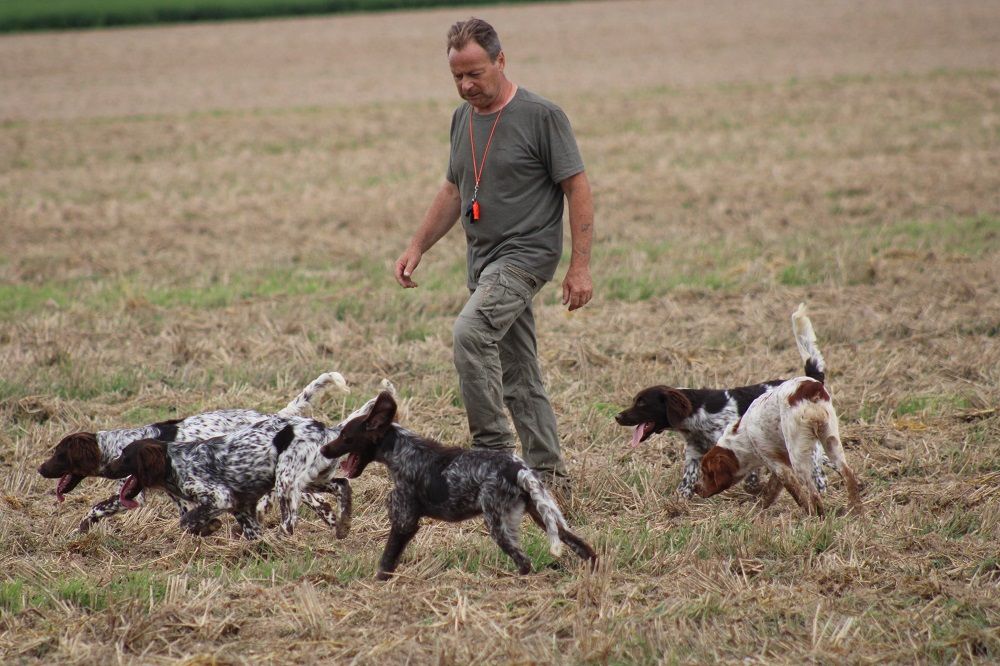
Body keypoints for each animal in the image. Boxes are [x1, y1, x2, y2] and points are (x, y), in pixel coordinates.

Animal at [38, 370, 348, 532]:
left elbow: (97, 507)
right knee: (317, 497)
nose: (40, 469)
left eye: (59, 453)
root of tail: (275, 416)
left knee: (310, 498)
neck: (120, 444)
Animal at [320, 392, 596, 580]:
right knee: (583, 546)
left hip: (498, 523)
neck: (402, 451)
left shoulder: (404, 521)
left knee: (525, 562)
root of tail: (519, 470)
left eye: (345, 436)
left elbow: (386, 561)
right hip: (542, 514)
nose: (323, 449)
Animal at [612, 304, 832, 496]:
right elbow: (684, 488)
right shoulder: (694, 456)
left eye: (642, 403)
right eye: (635, 400)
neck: (698, 412)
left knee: (818, 471)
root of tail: (811, 380)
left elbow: (750, 478)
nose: (617, 417)